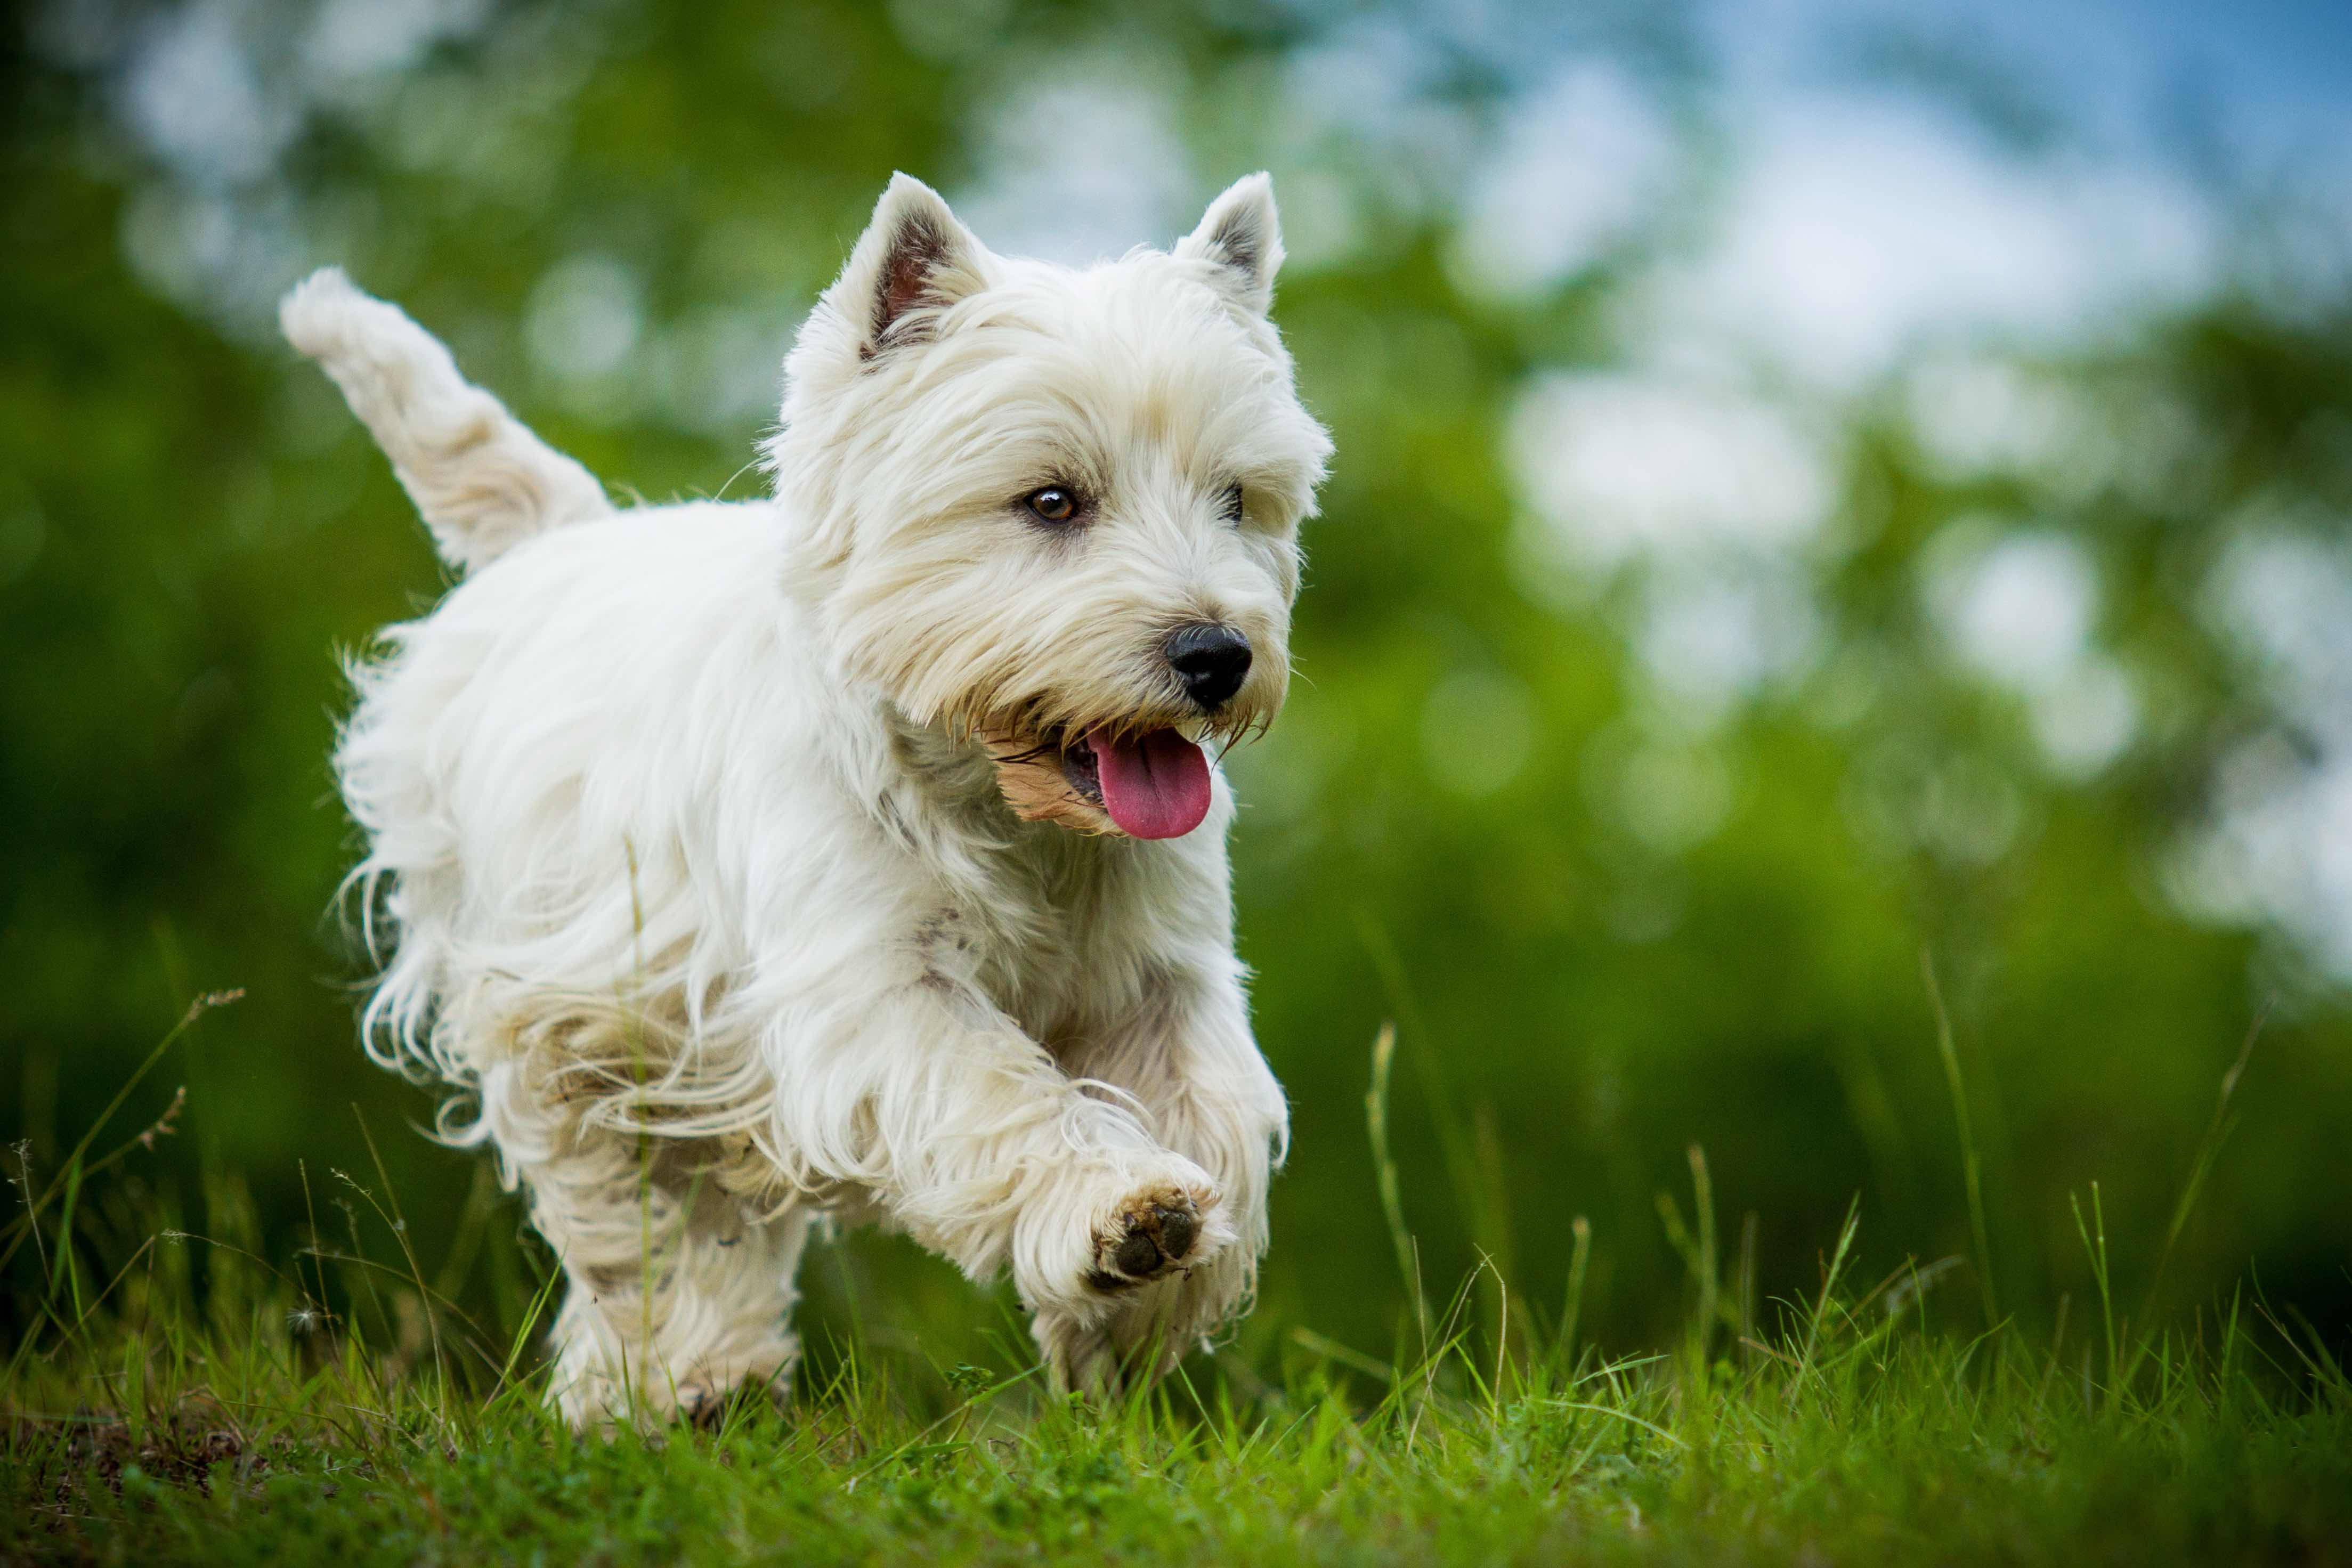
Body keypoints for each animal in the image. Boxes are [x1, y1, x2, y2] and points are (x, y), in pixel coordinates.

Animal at [285, 175, 1336, 1439]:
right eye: (1051, 500)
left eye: (1236, 499)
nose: (1216, 655)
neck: (1003, 809)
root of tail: (560, 539)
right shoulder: (868, 986)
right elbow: (1005, 1092)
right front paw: (1120, 1211)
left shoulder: (1158, 976)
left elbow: (1210, 1107)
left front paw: (1145, 1294)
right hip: (568, 1013)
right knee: (627, 1216)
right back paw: (668, 1379)